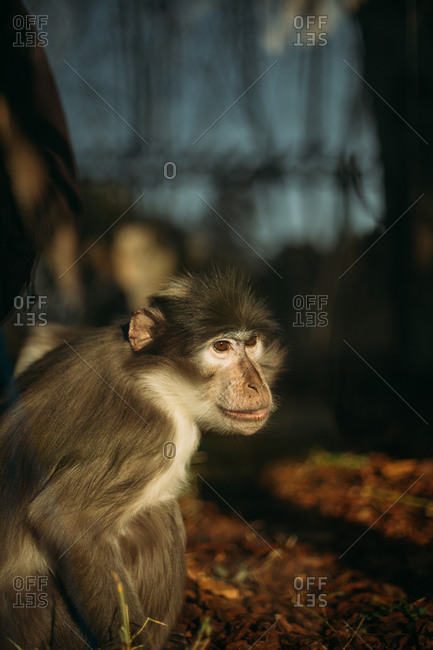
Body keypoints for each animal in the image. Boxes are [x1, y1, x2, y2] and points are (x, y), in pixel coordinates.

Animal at [0, 269, 284, 649]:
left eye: (250, 343)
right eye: (221, 347)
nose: (256, 384)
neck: (153, 376)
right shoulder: (154, 433)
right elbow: (68, 520)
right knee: (160, 514)